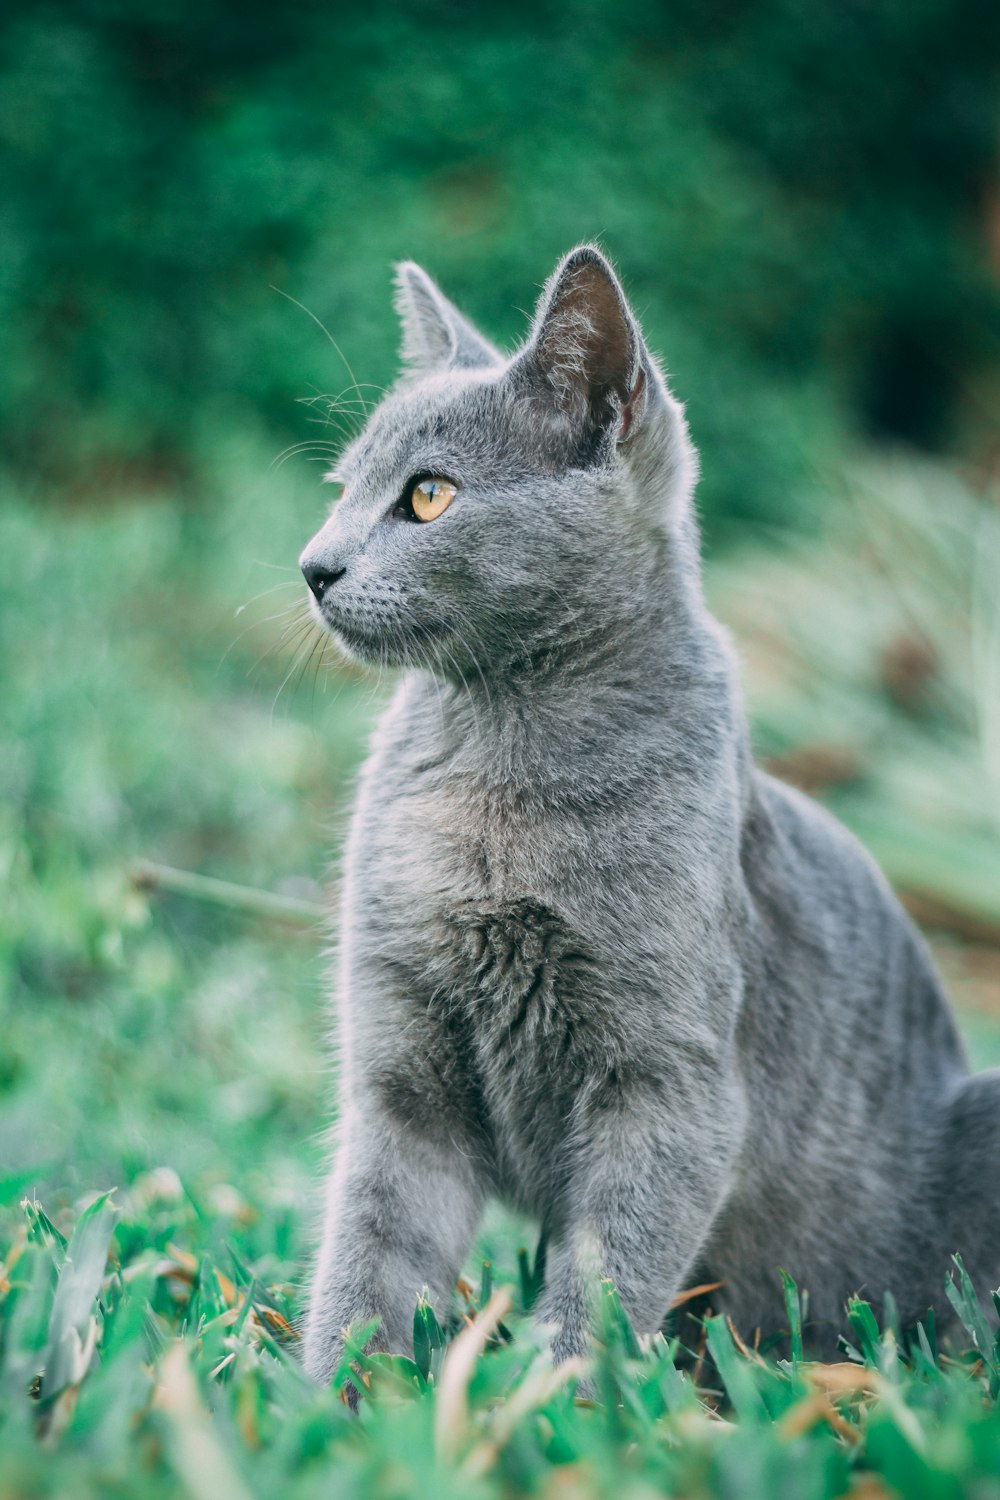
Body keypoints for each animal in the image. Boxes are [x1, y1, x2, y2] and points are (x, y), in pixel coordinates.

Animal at [296, 246, 1000, 1380]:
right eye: (341, 490)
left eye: (429, 496)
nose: (313, 566)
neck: (498, 762)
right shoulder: (400, 1062)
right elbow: (369, 1251)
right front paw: (335, 1392)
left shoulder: (671, 1082)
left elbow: (607, 1272)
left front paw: (551, 1400)